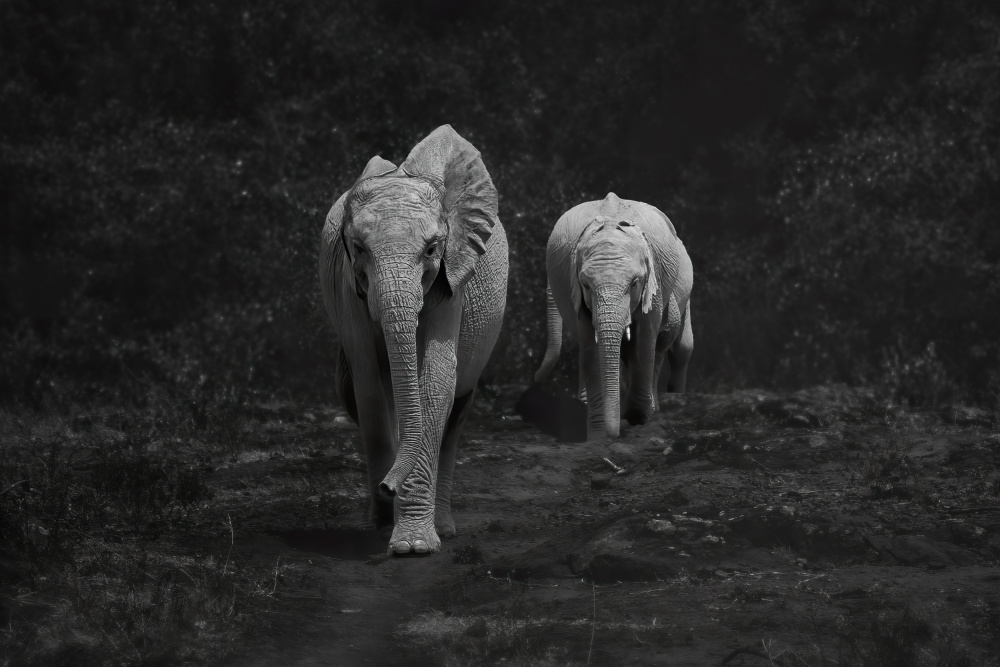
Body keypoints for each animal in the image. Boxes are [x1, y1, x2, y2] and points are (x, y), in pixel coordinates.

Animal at [320, 125, 508, 552]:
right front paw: (386, 528)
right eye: (359, 249)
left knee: (457, 413)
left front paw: (414, 546)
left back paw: (444, 527)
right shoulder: (346, 287)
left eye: (432, 248)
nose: (388, 487)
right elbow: (369, 388)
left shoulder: (453, 275)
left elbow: (436, 381)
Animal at [536, 193, 692, 440]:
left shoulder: (654, 279)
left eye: (635, 283)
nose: (536, 380)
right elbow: (591, 347)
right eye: (586, 285)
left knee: (679, 349)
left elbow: (645, 339)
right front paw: (598, 435)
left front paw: (637, 418)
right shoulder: (576, 292)